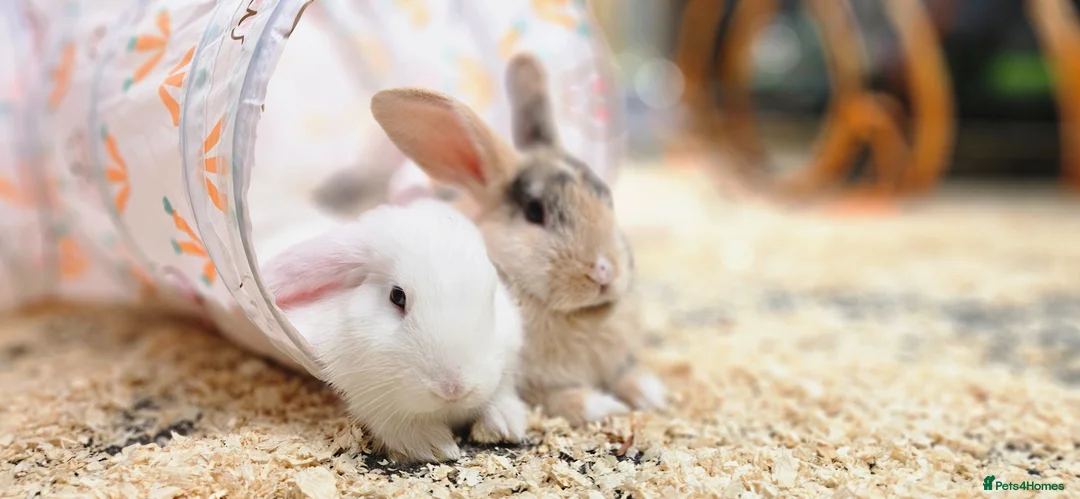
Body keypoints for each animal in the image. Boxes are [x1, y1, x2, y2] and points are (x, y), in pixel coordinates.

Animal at [257, 198, 528, 462]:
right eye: (397, 296)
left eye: (492, 294)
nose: (453, 390)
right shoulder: (363, 389)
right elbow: (388, 418)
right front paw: (436, 447)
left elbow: (501, 392)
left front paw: (505, 428)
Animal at [369, 53, 668, 427]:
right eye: (535, 212)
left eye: (607, 197)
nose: (603, 270)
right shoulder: (532, 387)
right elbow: (563, 398)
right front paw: (604, 406)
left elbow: (630, 374)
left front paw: (654, 395)